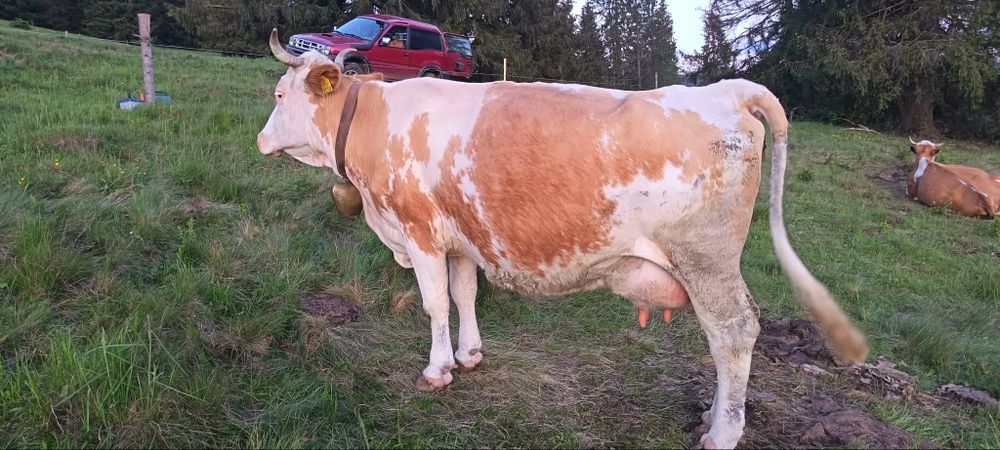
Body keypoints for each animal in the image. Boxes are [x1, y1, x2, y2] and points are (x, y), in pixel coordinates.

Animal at [257, 30, 868, 449]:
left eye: (281, 95)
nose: (261, 140)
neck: (374, 124)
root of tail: (726, 90)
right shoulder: (460, 238)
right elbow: (463, 295)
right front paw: (470, 355)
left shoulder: (420, 231)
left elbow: (434, 303)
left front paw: (437, 371)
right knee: (725, 336)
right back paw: (712, 416)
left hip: (706, 261)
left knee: (734, 332)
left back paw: (722, 433)